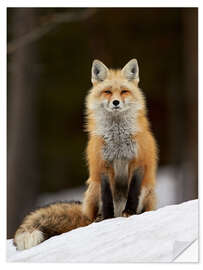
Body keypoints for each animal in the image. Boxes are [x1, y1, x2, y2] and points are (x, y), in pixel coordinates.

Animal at [13, 59, 158, 251]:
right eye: (107, 92)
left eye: (124, 91)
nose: (116, 102)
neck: (117, 138)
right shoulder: (102, 165)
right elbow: (106, 196)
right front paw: (107, 219)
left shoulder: (138, 162)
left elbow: (133, 192)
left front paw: (131, 212)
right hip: (93, 188)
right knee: (93, 214)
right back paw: (98, 219)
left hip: (147, 191)